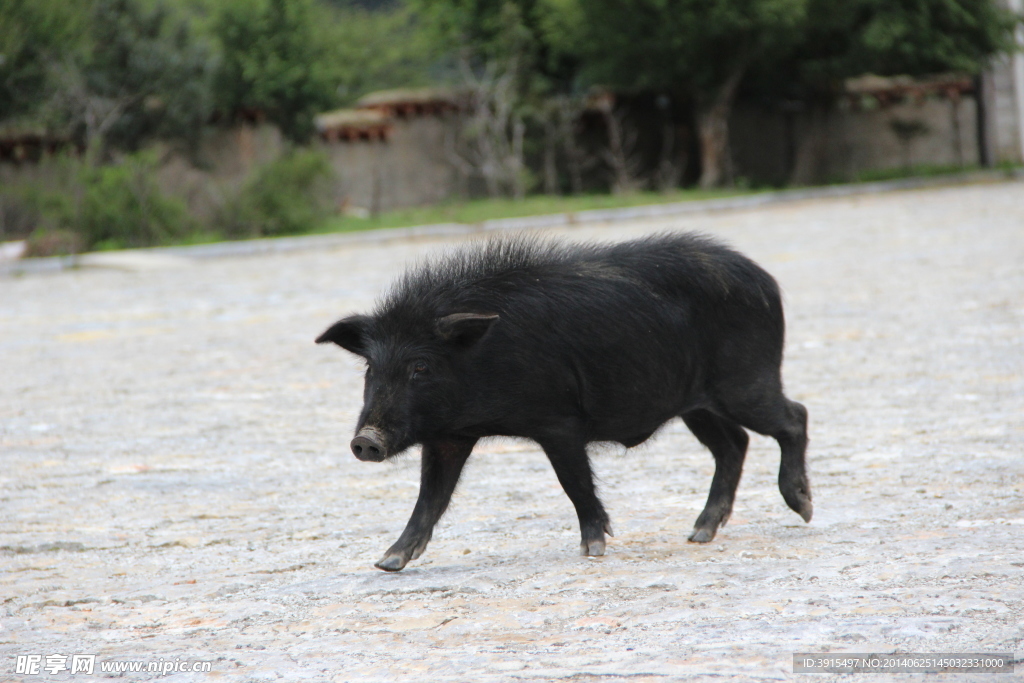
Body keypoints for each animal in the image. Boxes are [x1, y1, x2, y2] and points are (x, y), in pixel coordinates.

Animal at [315, 235, 811, 573]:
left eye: (420, 366)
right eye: (370, 368)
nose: (366, 440)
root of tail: (766, 281)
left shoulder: (559, 423)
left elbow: (573, 482)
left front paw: (593, 550)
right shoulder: (449, 437)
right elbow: (430, 498)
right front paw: (388, 562)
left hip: (745, 383)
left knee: (794, 417)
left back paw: (802, 508)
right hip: (695, 405)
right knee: (734, 444)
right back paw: (700, 533)